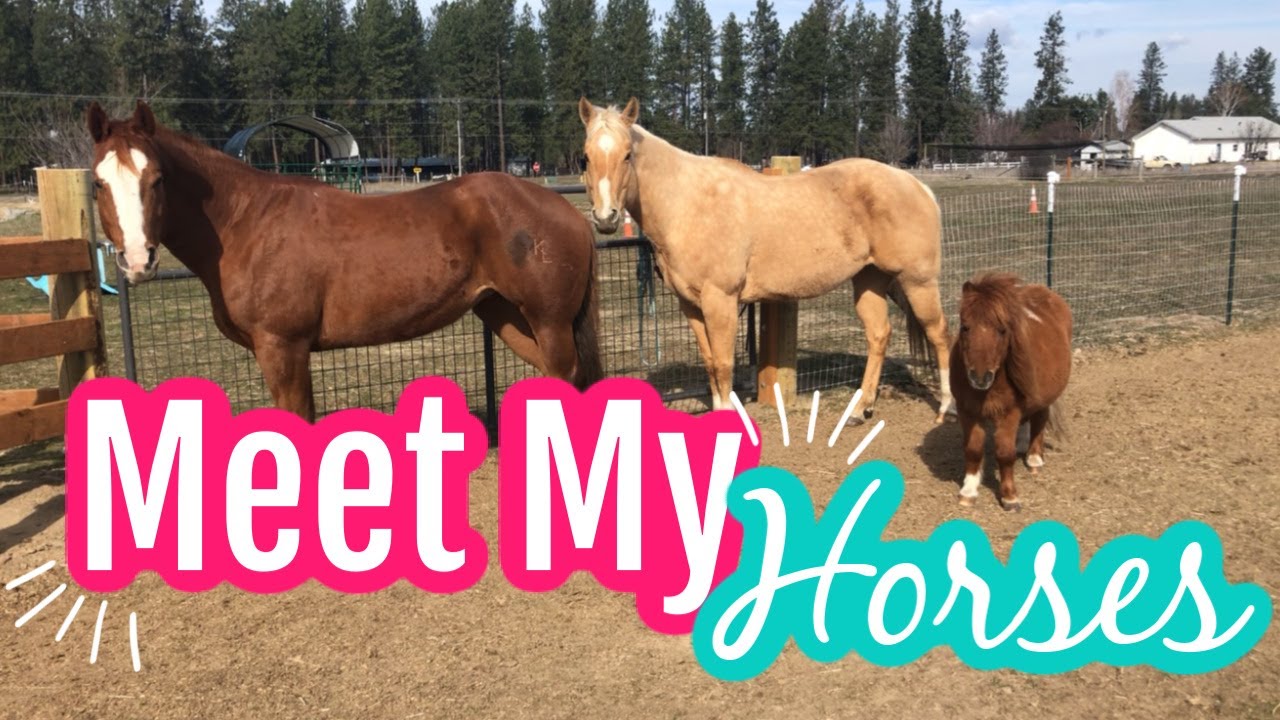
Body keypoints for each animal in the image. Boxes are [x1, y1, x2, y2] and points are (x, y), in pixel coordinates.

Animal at [87, 100, 602, 422]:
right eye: (97, 182)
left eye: (157, 178)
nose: (138, 260)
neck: (247, 222)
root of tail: (568, 210)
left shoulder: (283, 348)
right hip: (506, 314)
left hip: (549, 321)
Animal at [577, 97, 953, 422]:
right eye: (585, 157)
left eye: (627, 155)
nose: (606, 218)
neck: (690, 203)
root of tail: (917, 185)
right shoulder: (690, 305)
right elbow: (710, 362)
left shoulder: (721, 301)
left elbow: (724, 364)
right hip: (870, 279)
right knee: (879, 335)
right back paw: (861, 410)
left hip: (918, 281)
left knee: (939, 333)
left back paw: (944, 407)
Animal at [951, 272, 1072, 510]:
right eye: (965, 327)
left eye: (1002, 330)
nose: (980, 378)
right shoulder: (967, 411)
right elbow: (973, 449)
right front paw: (968, 491)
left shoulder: (1008, 413)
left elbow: (1005, 453)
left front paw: (1009, 497)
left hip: (1045, 395)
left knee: (1040, 419)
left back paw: (1034, 458)